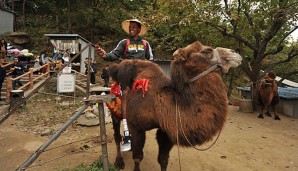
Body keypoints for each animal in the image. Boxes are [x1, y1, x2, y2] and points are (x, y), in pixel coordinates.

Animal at [108, 40, 241, 170]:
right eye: (207, 51)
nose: (235, 52)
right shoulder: (136, 126)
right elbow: (138, 158)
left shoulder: (167, 131)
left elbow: (163, 160)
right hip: (115, 112)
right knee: (117, 136)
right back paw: (119, 162)